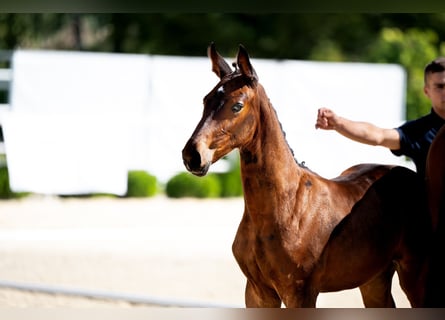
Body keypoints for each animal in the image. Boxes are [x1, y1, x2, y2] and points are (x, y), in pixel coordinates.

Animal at [181, 43, 430, 306]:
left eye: (236, 106)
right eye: (205, 101)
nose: (192, 155)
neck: (285, 207)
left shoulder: (300, 293)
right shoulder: (257, 291)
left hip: (415, 275)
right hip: (374, 280)